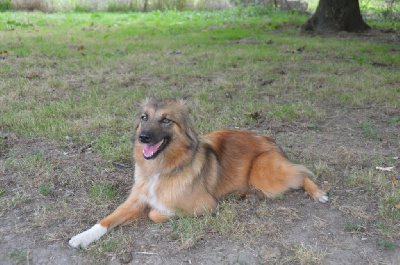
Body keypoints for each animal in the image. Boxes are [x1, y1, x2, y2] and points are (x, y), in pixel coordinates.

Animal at [67, 98, 326, 248]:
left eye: (166, 120)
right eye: (144, 117)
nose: (143, 137)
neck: (161, 168)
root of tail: (266, 137)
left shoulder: (205, 205)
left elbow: (155, 213)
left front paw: (159, 212)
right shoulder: (135, 200)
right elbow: (107, 219)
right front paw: (83, 237)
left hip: (264, 173)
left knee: (301, 173)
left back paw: (318, 193)